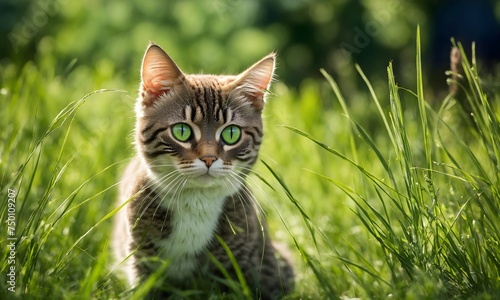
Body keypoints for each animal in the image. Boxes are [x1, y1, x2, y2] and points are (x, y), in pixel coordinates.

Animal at [113, 42, 292, 300]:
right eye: (181, 131)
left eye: (231, 133)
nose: (209, 158)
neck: (196, 200)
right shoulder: (142, 257)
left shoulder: (243, 264)